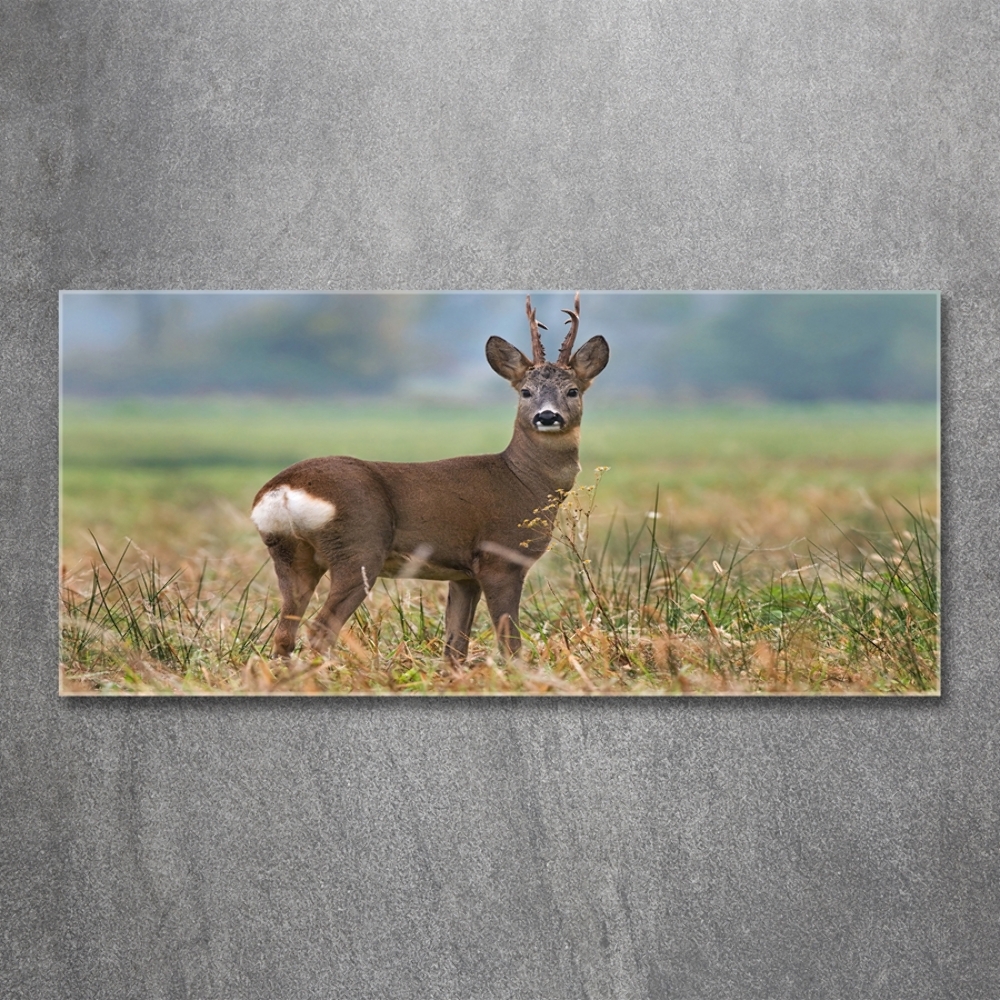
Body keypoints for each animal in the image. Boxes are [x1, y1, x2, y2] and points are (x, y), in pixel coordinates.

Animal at [250, 292, 608, 660]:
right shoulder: (500, 558)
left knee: (284, 633)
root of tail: (282, 490)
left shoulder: (464, 575)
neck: (525, 481)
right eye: (525, 391)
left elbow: (455, 647)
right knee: (320, 630)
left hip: (292, 556)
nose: (547, 416)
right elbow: (510, 642)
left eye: (573, 391)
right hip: (358, 548)